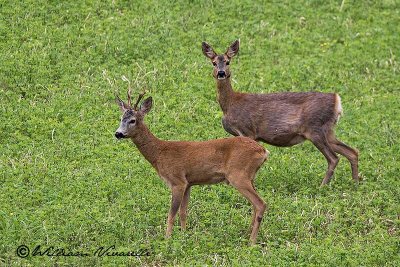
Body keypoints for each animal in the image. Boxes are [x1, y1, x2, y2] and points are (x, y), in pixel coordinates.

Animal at [112, 91, 268, 245]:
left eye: (132, 120)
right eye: (121, 118)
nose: (118, 133)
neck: (159, 153)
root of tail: (263, 151)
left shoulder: (177, 181)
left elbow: (171, 214)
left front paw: (167, 239)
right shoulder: (188, 183)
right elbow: (183, 212)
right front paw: (183, 235)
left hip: (238, 175)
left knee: (260, 204)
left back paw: (251, 242)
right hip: (249, 176)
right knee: (255, 205)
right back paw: (246, 235)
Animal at [203, 39, 360, 186]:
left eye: (228, 62)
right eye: (213, 63)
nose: (221, 73)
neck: (230, 104)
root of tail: (336, 100)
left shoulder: (248, 130)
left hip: (315, 128)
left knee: (334, 158)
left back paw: (323, 186)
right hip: (328, 131)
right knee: (352, 152)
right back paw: (355, 183)